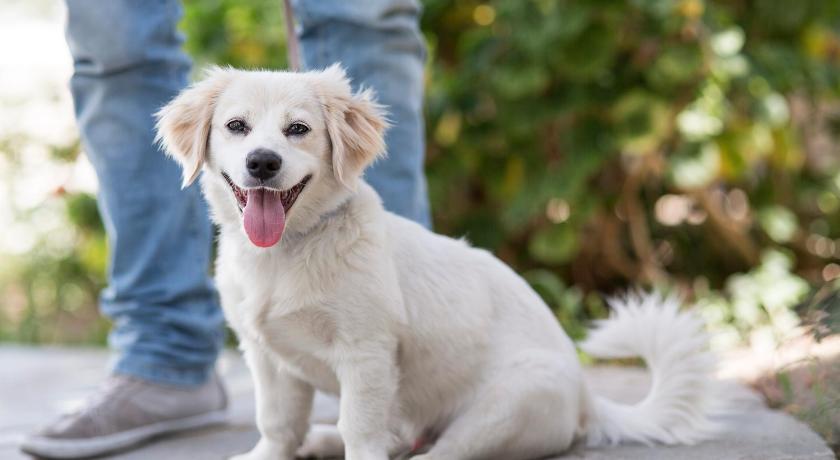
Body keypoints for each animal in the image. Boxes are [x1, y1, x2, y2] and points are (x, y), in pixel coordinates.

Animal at [158, 65, 720, 460]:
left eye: (298, 129)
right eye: (236, 126)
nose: (262, 162)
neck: (287, 253)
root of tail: (587, 398)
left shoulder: (366, 354)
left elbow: (359, 427)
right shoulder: (268, 358)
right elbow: (277, 425)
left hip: (503, 409)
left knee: (432, 452)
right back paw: (319, 440)